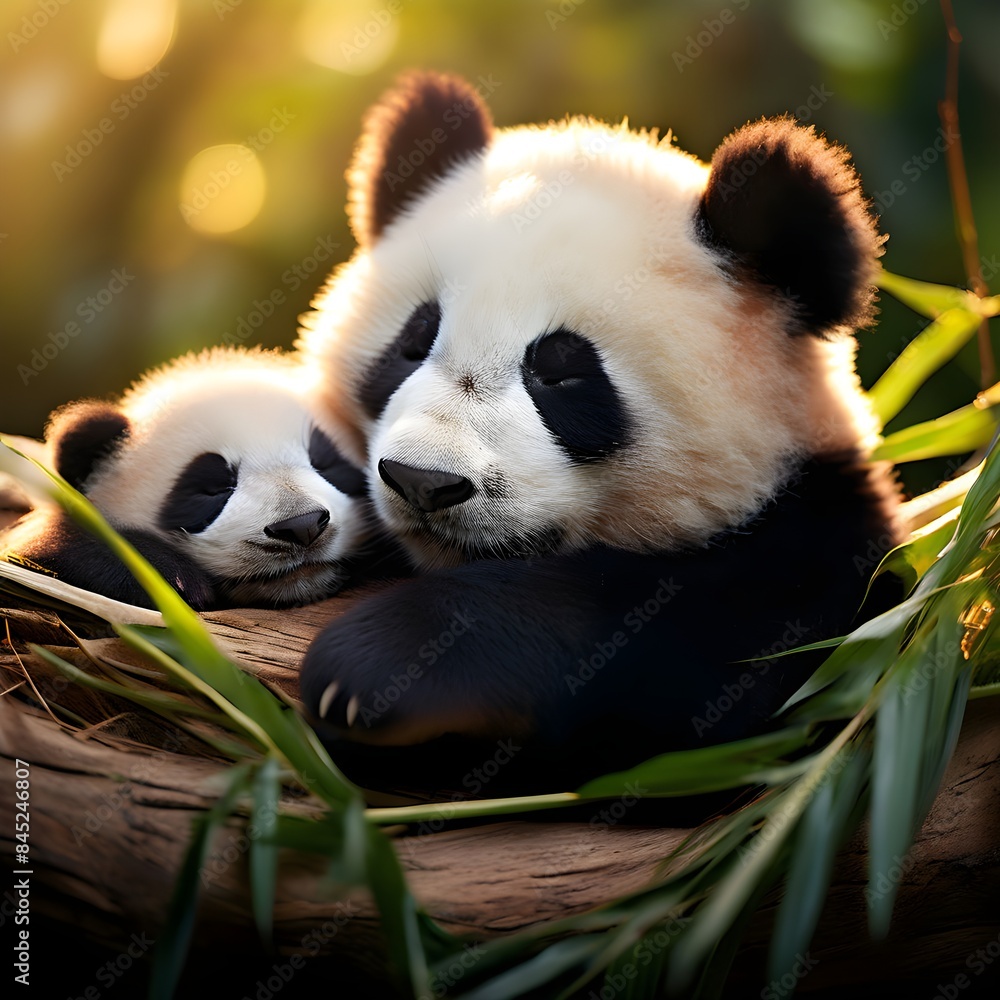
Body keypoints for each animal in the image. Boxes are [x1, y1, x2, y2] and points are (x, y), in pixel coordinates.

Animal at [295, 72, 904, 788]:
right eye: (413, 344)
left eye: (561, 372)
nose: (423, 481)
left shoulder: (816, 556)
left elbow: (696, 663)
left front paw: (376, 665)